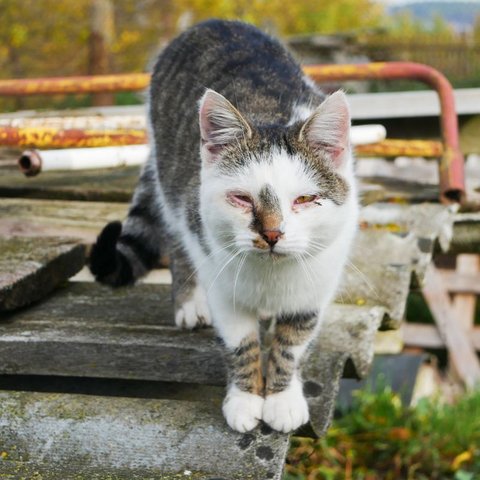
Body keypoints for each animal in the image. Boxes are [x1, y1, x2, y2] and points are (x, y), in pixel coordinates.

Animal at [90, 18, 358, 434]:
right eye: (242, 199)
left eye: (304, 200)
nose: (272, 233)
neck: (269, 276)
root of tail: (210, 22)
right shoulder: (220, 281)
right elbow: (240, 343)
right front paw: (246, 399)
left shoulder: (314, 287)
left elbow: (292, 343)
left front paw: (282, 398)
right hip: (174, 186)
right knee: (176, 239)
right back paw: (189, 304)